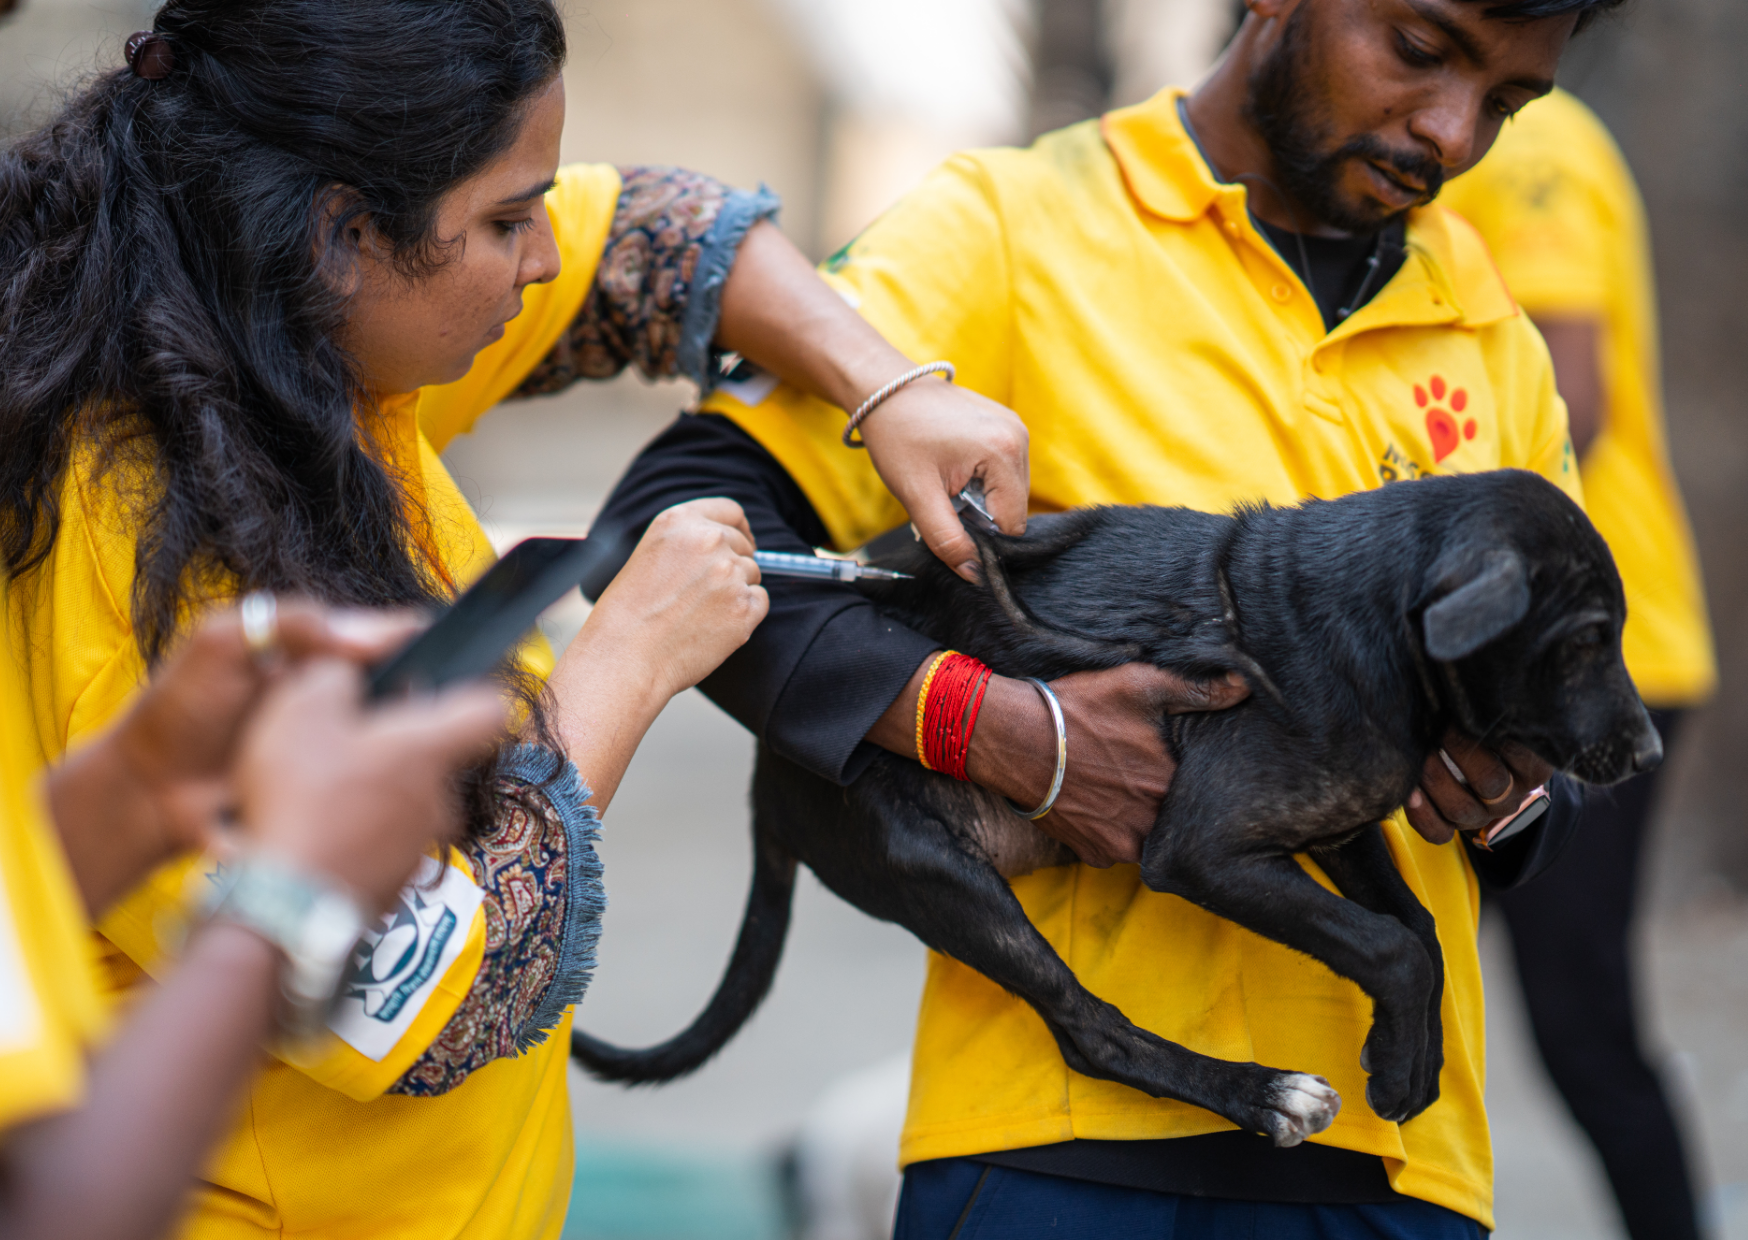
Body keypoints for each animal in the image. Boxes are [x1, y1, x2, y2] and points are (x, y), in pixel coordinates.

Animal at [576, 468, 1664, 1147]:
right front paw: (1394, 1068)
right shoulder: (1204, 848)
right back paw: (1262, 1094)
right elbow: (1390, 945)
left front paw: (1413, 1058)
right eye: (1583, 640)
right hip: (930, 866)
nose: (1651, 752)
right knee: (1086, 1031)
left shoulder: (1340, 828)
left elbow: (1419, 934)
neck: (1365, 622)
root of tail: (766, 773)